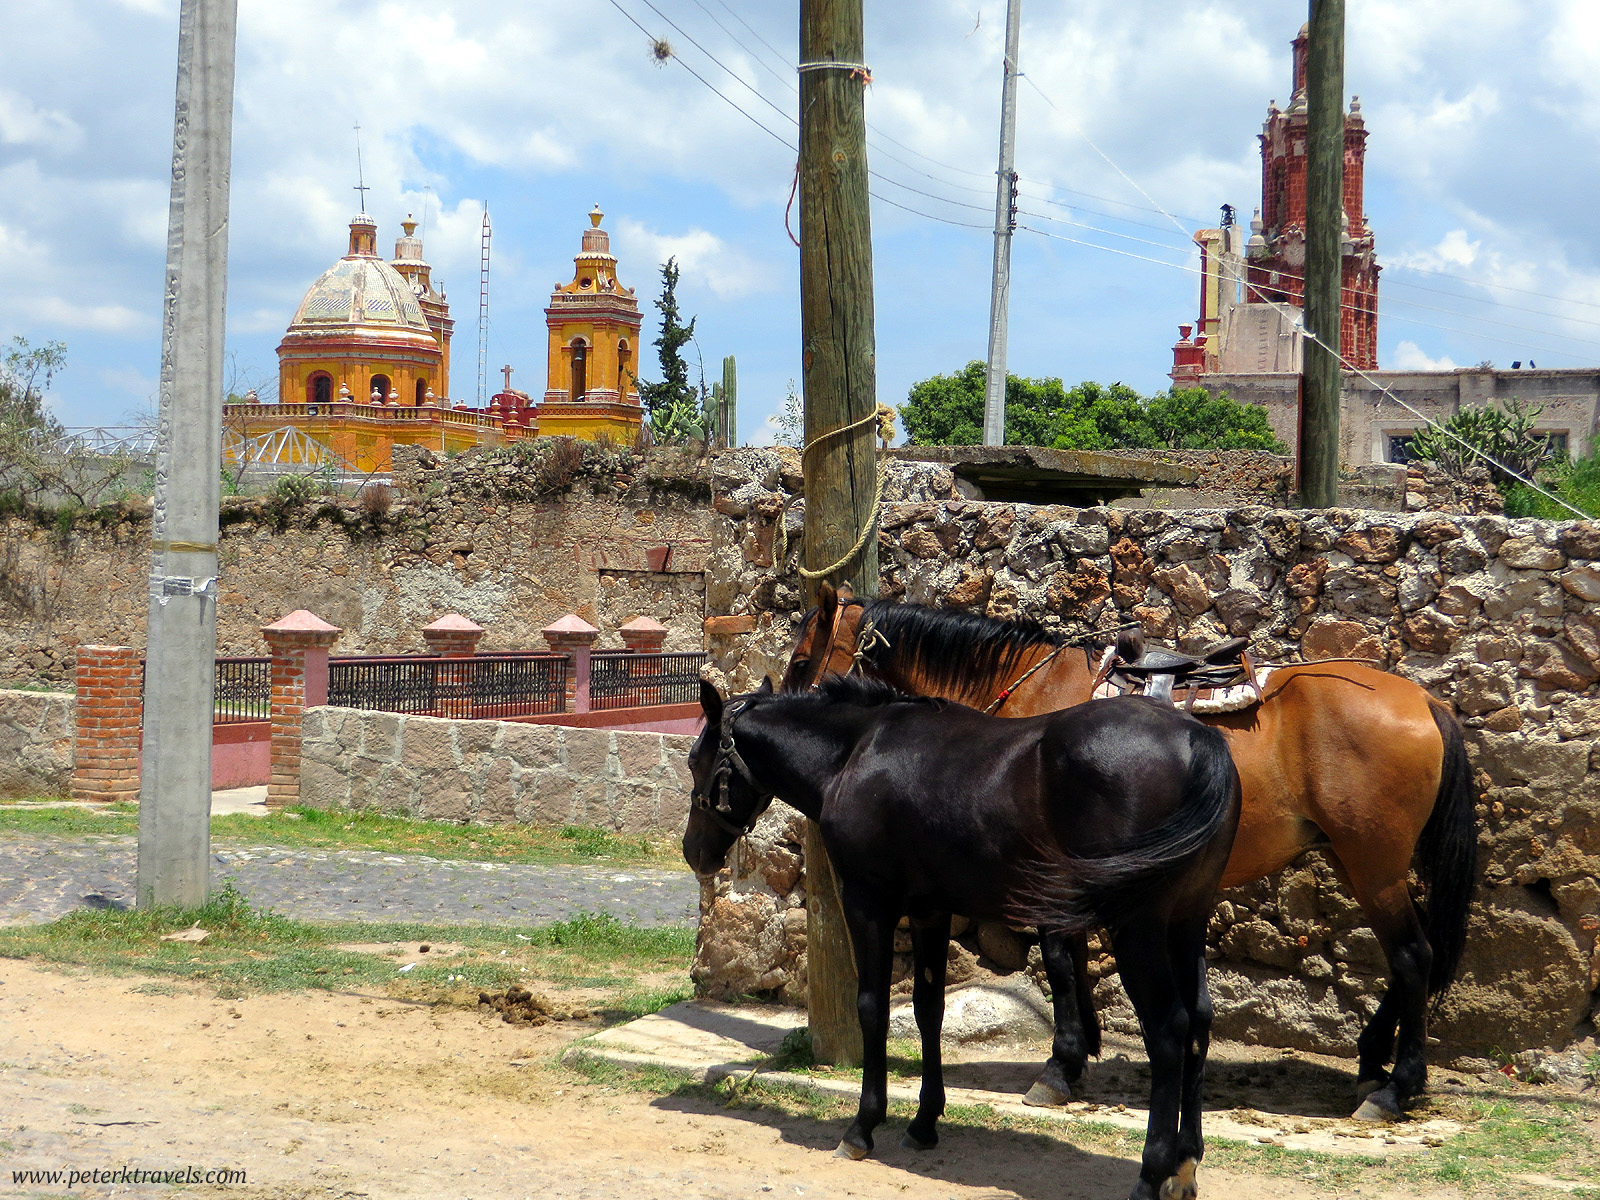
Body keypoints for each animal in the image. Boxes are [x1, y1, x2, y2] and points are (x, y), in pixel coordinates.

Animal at [681, 678, 1241, 1200]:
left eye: (693, 760)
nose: (693, 852)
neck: (857, 752)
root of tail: (1196, 739)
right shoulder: (930, 911)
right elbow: (929, 1008)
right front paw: (924, 1121)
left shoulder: (868, 903)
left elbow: (872, 1007)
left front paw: (863, 1127)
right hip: (1187, 923)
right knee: (1199, 1021)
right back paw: (1185, 1164)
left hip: (1138, 931)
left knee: (1168, 1030)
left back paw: (1152, 1172)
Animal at [780, 588, 1478, 1126]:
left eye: (801, 657)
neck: (1035, 697)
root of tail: (1426, 702)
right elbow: (1073, 957)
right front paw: (1082, 1046)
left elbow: (1060, 958)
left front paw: (1061, 1064)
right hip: (1355, 860)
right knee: (1411, 958)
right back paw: (1371, 1060)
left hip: (1372, 864)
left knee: (1413, 956)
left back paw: (1395, 1086)